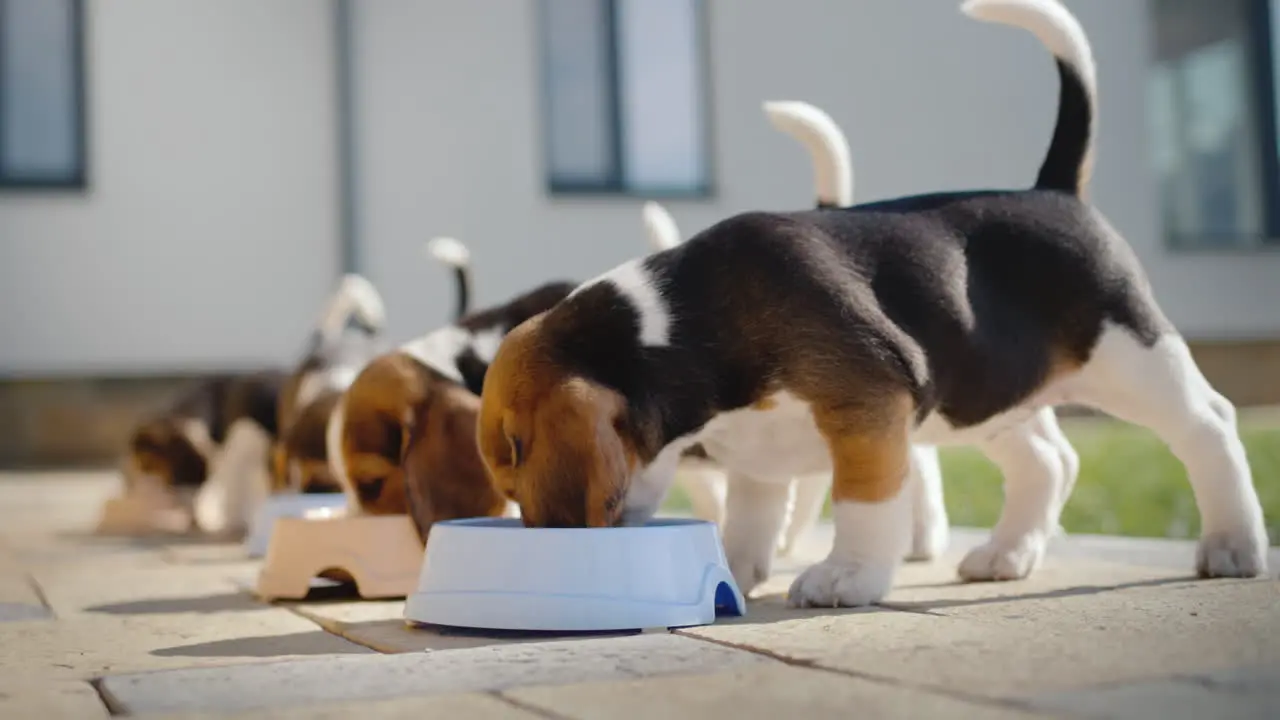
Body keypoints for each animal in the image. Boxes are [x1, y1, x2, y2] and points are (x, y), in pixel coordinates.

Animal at [476, 0, 1264, 604]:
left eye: (513, 451)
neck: (679, 324)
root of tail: (1054, 188)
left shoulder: (867, 408)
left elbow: (864, 503)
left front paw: (845, 577)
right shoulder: (757, 453)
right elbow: (748, 519)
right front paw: (733, 572)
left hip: (1131, 357)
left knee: (1207, 425)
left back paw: (1232, 543)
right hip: (987, 389)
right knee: (1048, 461)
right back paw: (1009, 553)